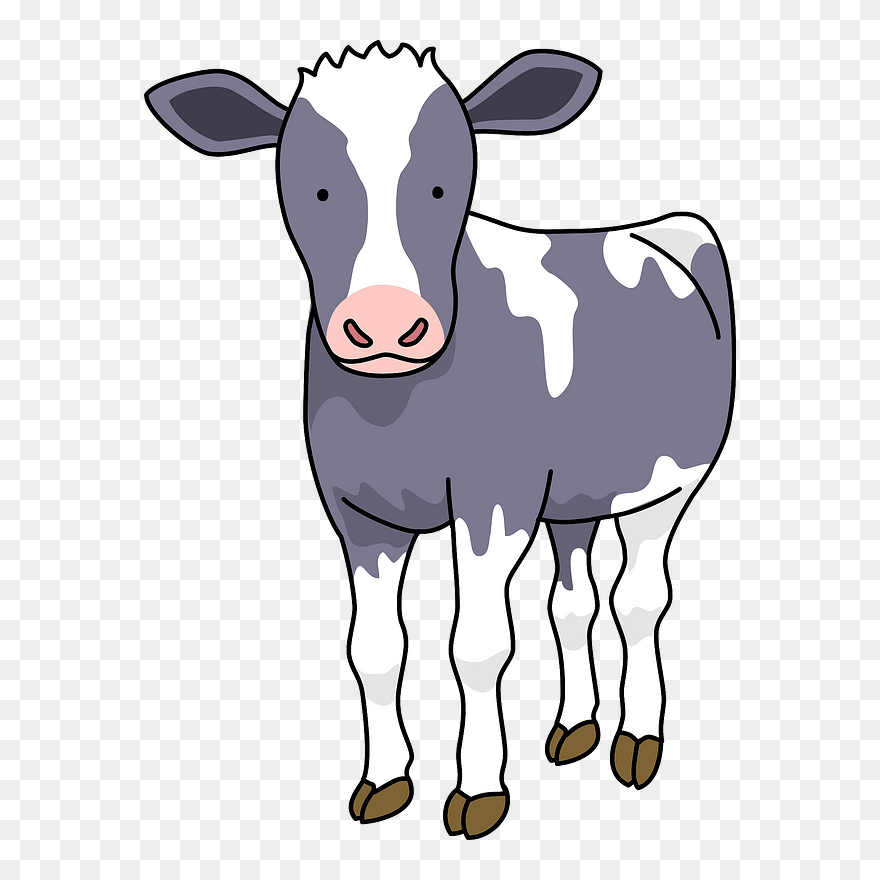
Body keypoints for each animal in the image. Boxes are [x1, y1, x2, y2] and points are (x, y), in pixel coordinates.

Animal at [145, 42, 735, 839]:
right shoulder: (358, 515)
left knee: (640, 599)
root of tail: (669, 223)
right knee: (574, 600)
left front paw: (480, 789)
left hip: (668, 483)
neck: (399, 409)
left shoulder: (495, 500)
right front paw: (385, 778)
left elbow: (478, 646)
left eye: (442, 185)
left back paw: (636, 739)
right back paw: (575, 726)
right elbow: (374, 650)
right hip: (575, 496)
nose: (386, 325)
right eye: (315, 187)